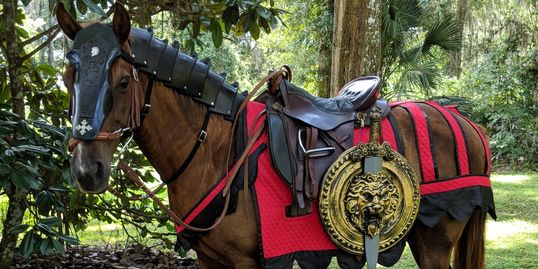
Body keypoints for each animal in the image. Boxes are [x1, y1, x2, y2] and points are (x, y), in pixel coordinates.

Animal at [55, 2, 494, 268]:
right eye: (67, 78)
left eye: (123, 82)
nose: (87, 170)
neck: (215, 151)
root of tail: (467, 123)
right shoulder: (210, 259)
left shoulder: (248, 261)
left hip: (435, 240)